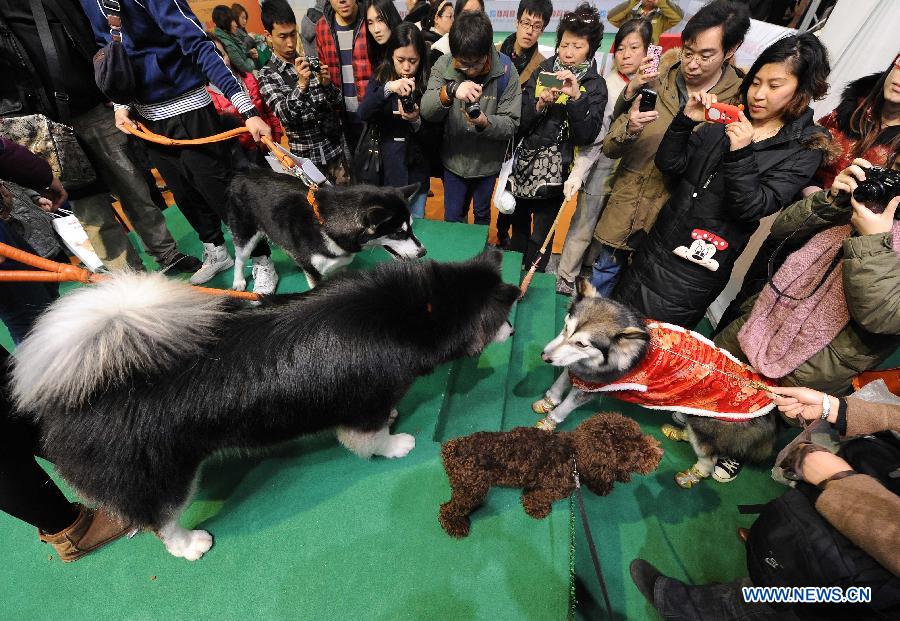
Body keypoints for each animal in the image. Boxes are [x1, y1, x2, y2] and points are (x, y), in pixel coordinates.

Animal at [10, 249, 516, 560]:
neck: (402, 315)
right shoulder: (364, 406)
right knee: (162, 522)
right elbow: (370, 439)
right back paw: (189, 544)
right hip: (166, 477)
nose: (513, 332)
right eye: (500, 317)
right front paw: (394, 445)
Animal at [223, 166, 424, 290]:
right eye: (398, 233)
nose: (423, 252)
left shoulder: (340, 267)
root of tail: (241, 174)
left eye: (411, 227)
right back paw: (238, 281)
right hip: (245, 233)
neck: (325, 227)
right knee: (240, 258)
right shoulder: (315, 275)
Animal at [438, 412, 660, 536]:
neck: (575, 455)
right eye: (632, 452)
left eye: (639, 434)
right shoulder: (550, 491)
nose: (659, 453)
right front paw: (538, 511)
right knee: (448, 508)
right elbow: (536, 500)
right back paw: (455, 525)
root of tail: (452, 448)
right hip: (471, 488)